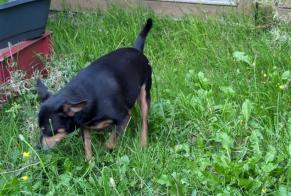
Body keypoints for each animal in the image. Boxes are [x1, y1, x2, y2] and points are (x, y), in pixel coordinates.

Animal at [36, 18, 153, 160]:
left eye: (49, 131)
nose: (37, 147)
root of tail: (137, 50)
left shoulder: (124, 116)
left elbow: (110, 142)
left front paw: (105, 151)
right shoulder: (84, 125)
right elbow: (87, 145)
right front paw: (90, 162)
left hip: (145, 95)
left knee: (144, 122)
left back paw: (143, 144)